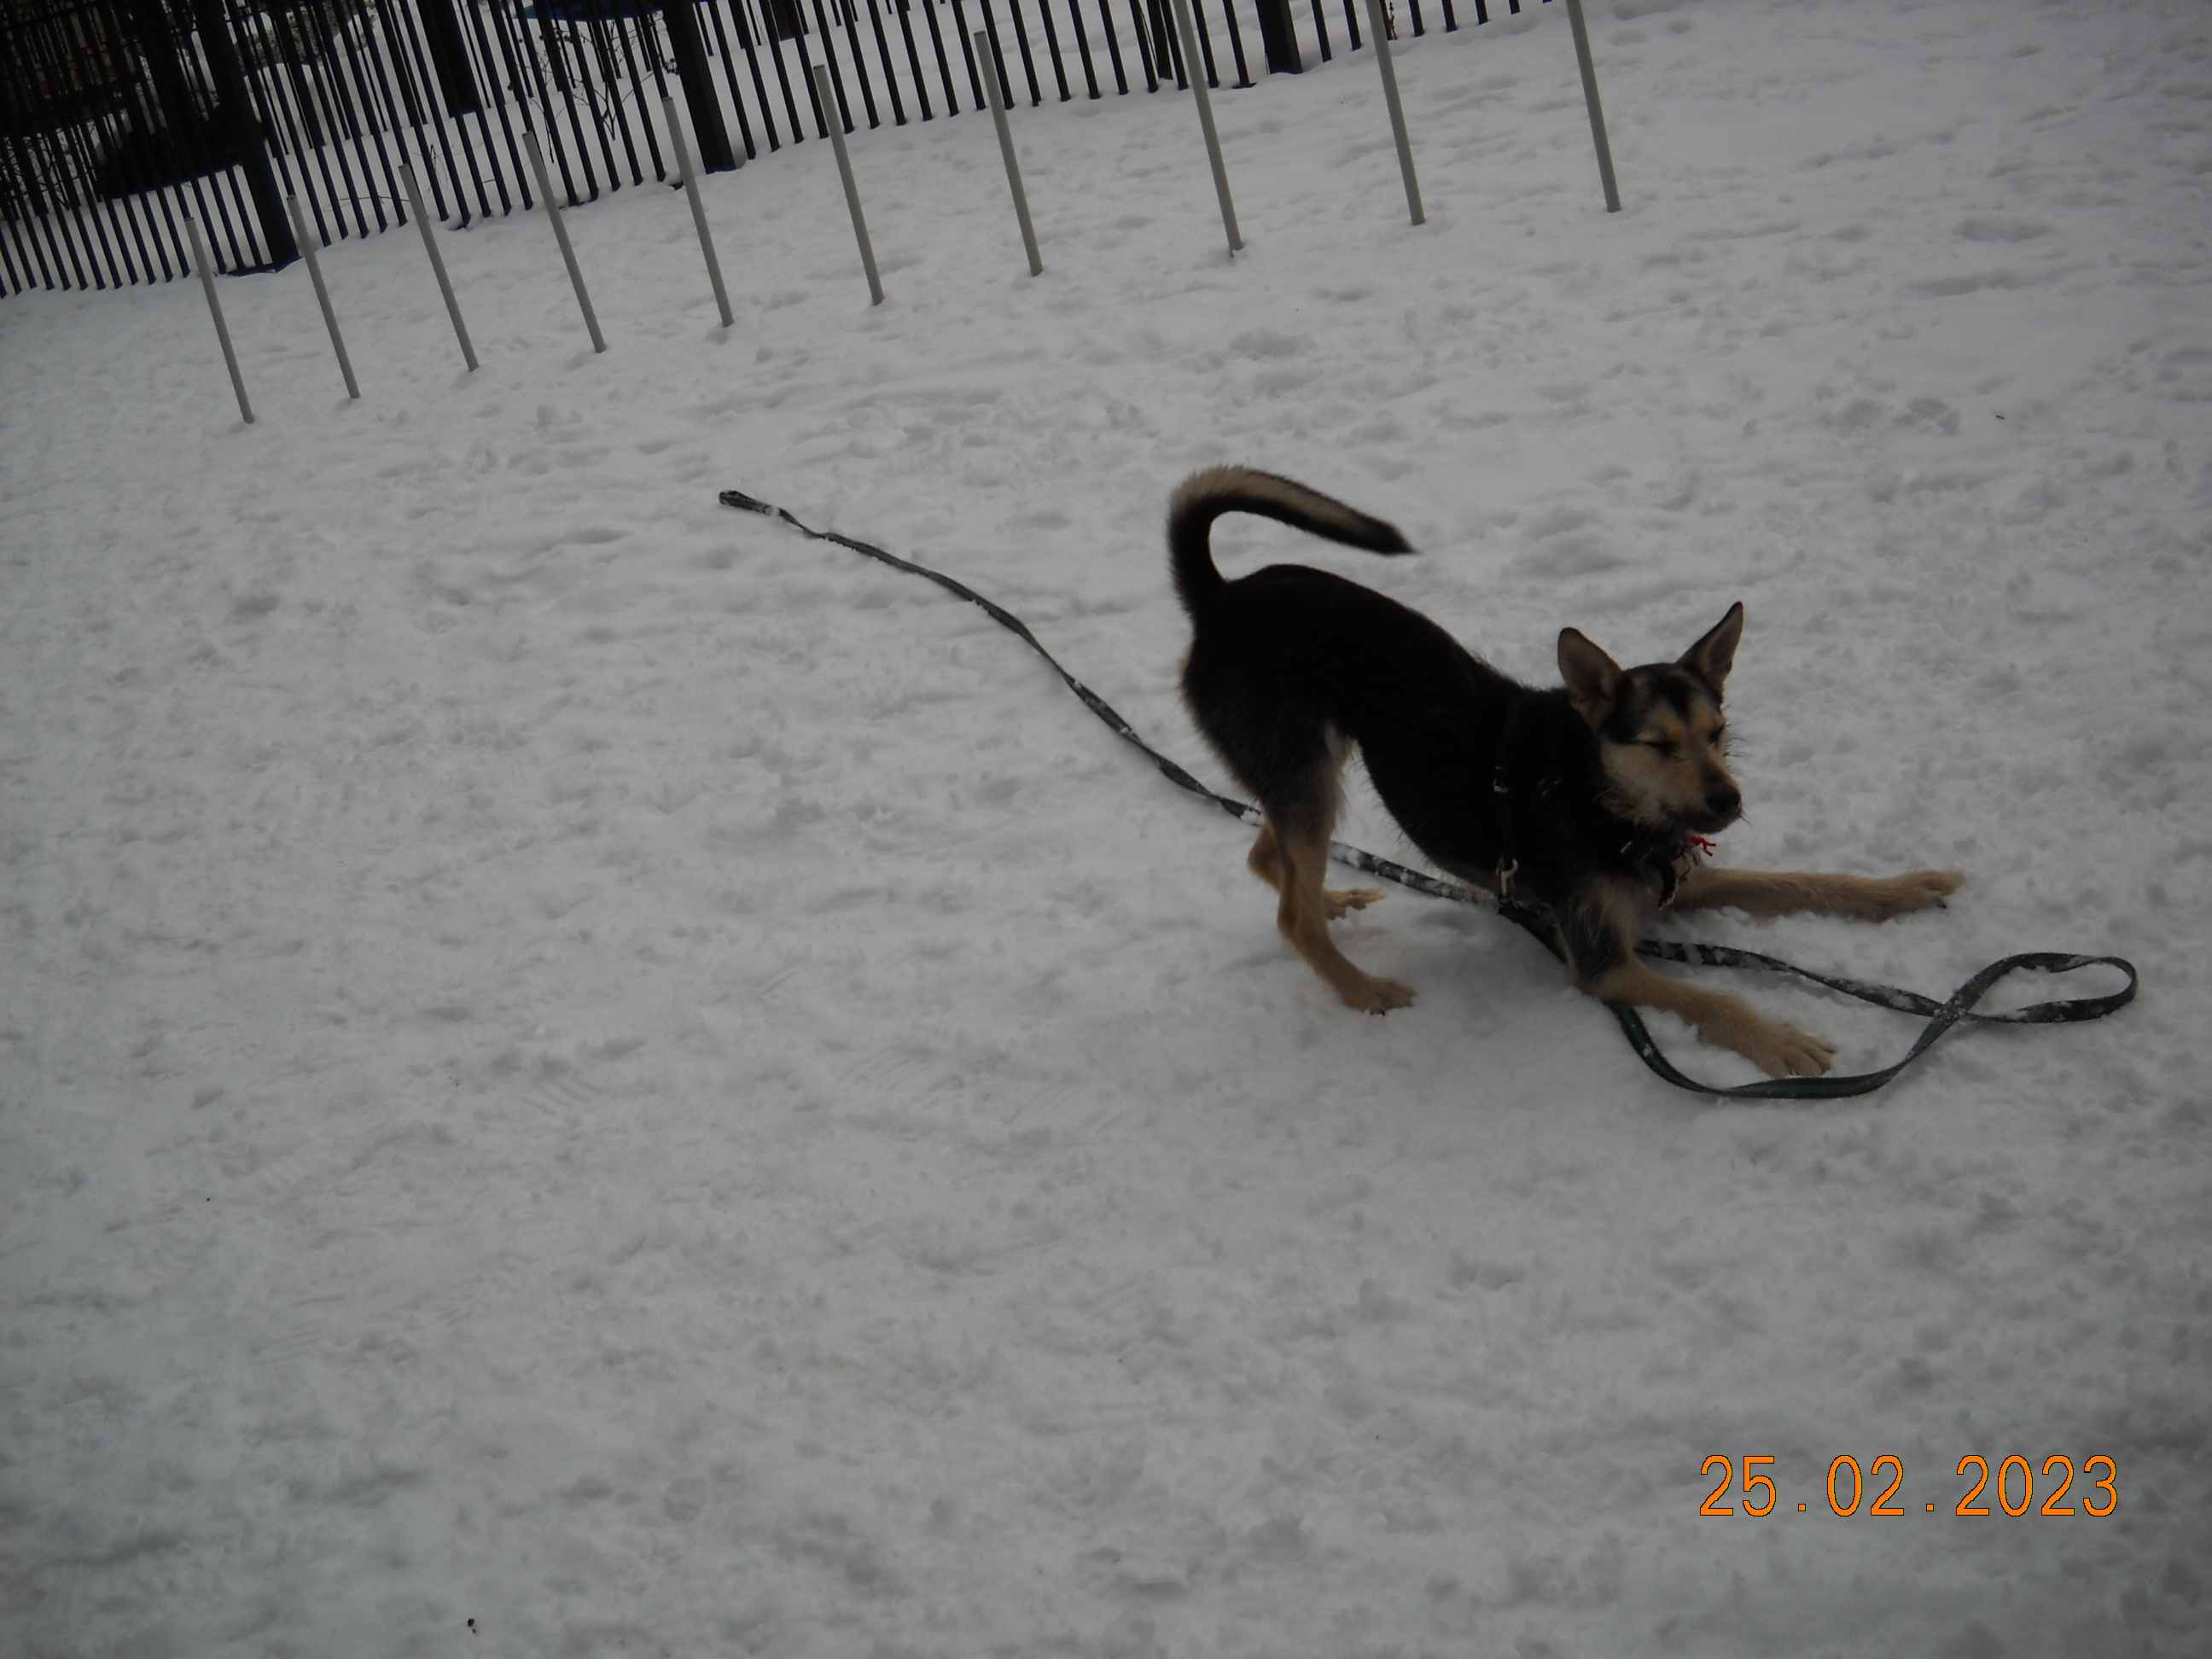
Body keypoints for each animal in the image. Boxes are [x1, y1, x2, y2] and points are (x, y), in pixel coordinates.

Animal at [1167, 469, 1964, 1084]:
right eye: (1657, 743)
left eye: (1717, 733)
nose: (1728, 800)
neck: (1595, 797)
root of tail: (1220, 596)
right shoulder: (1602, 962)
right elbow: (1715, 1000)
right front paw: (1778, 1038)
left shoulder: (1679, 881)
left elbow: (1805, 882)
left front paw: (1905, 889)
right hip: (1305, 769)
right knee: (1289, 915)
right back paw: (1361, 987)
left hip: (1304, 776)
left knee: (1267, 854)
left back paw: (1333, 901)